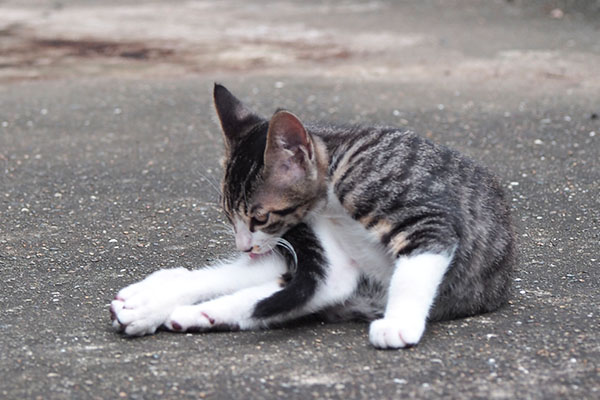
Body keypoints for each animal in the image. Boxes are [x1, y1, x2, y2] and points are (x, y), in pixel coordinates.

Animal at [109, 85, 516, 350]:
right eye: (229, 216)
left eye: (260, 217)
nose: (244, 245)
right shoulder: (321, 260)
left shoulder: (425, 220)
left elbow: (414, 270)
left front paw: (399, 323)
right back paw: (153, 299)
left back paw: (191, 313)